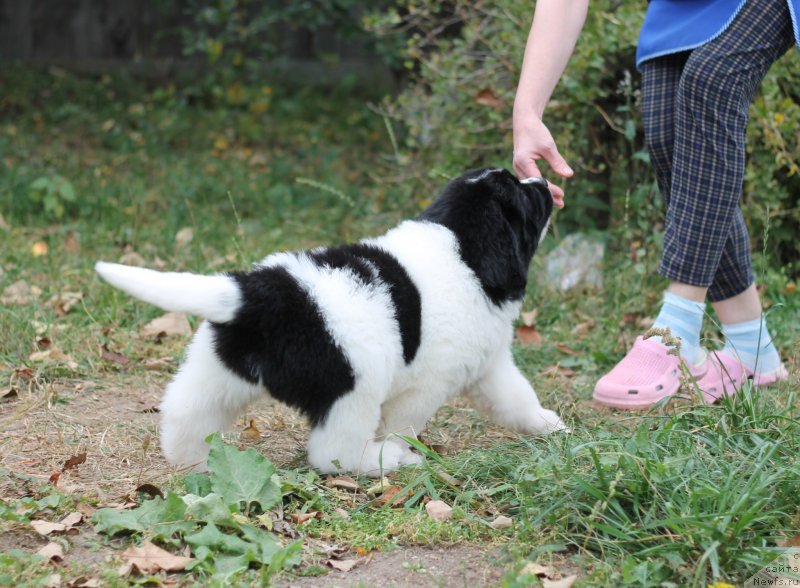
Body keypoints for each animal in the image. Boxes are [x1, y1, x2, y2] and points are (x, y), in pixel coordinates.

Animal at [95, 167, 568, 478]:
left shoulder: (489, 364)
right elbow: (404, 426)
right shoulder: (425, 386)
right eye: (523, 196)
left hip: (219, 369)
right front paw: (401, 450)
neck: (463, 246)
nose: (544, 182)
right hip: (353, 385)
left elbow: (516, 397)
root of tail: (263, 292)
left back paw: (192, 461)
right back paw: (384, 462)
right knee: (332, 452)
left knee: (185, 413)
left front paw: (547, 425)